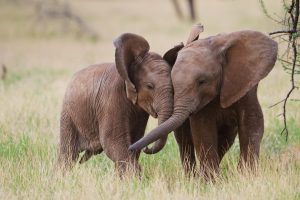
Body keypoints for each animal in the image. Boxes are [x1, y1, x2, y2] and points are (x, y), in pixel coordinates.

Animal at [57, 32, 177, 175]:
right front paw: (135, 176)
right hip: (68, 115)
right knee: (68, 153)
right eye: (149, 86)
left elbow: (135, 139)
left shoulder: (140, 113)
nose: (147, 148)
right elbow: (113, 142)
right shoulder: (111, 100)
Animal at [127, 25, 278, 178]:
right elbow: (203, 129)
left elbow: (252, 122)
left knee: (225, 140)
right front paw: (210, 180)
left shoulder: (245, 85)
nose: (133, 148)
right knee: (185, 140)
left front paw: (246, 175)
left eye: (202, 81)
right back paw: (192, 177)